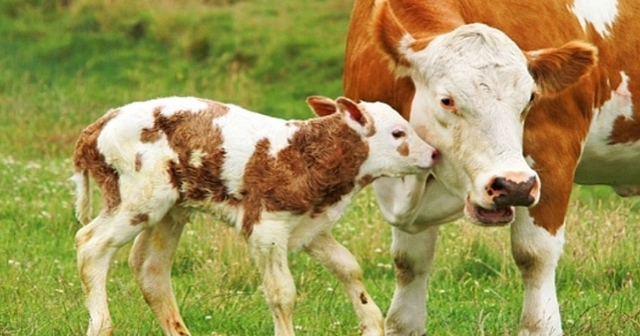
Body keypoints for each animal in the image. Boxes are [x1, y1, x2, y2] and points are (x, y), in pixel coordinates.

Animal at [71, 95, 440, 336]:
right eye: (398, 133)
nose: (434, 153)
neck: (304, 154)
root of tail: (98, 125)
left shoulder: (309, 226)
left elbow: (349, 267)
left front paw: (371, 324)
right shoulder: (267, 227)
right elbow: (282, 293)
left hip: (170, 210)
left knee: (150, 268)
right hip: (138, 198)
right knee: (91, 244)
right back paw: (101, 326)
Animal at [342, 0, 636, 334]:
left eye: (530, 98)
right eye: (447, 100)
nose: (513, 186)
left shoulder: (552, 153)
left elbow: (535, 253)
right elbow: (409, 261)